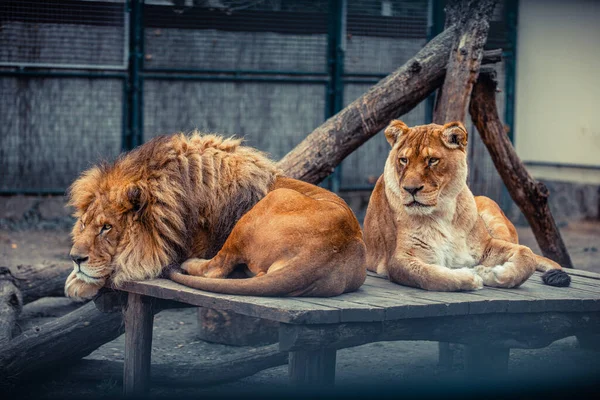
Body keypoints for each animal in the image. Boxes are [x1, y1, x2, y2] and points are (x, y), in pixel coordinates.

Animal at [65, 134, 366, 300]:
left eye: (107, 227)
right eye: (83, 224)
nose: (75, 258)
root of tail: (322, 254)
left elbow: (130, 262)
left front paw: (78, 282)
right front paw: (75, 278)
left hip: (271, 202)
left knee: (216, 268)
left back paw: (189, 264)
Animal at [364, 120, 568, 292]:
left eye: (432, 160)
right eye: (403, 160)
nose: (410, 189)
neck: (442, 212)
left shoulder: (486, 246)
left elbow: (527, 255)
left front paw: (490, 273)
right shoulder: (398, 259)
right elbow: (430, 276)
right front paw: (471, 277)